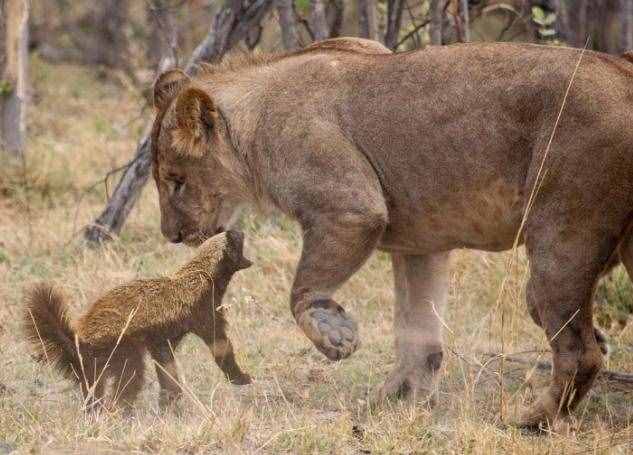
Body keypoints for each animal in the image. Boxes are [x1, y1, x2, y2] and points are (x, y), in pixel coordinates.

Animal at [24, 230, 252, 412]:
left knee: (93, 389)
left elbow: (166, 365)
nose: (240, 229)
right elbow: (220, 346)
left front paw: (169, 399)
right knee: (130, 376)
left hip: (93, 366)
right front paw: (241, 378)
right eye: (237, 239)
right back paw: (121, 411)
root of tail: (78, 340)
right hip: (120, 347)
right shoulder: (203, 311)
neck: (202, 274)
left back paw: (96, 412)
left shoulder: (163, 338)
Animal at [148, 38, 633, 428]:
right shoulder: (420, 243)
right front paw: (392, 402)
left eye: (176, 180)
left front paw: (336, 337)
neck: (251, 126)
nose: (171, 235)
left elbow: (301, 291)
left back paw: (531, 420)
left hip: (561, 236)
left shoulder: (351, 208)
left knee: (579, 350)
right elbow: (416, 334)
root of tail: (622, 72)